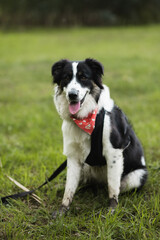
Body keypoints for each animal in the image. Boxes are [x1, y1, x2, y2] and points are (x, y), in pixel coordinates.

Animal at [51, 58, 148, 218]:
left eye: (83, 77)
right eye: (66, 77)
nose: (72, 95)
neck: (87, 118)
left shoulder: (114, 153)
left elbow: (113, 187)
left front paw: (112, 211)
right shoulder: (73, 155)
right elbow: (69, 188)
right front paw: (62, 210)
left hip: (136, 177)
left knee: (114, 185)